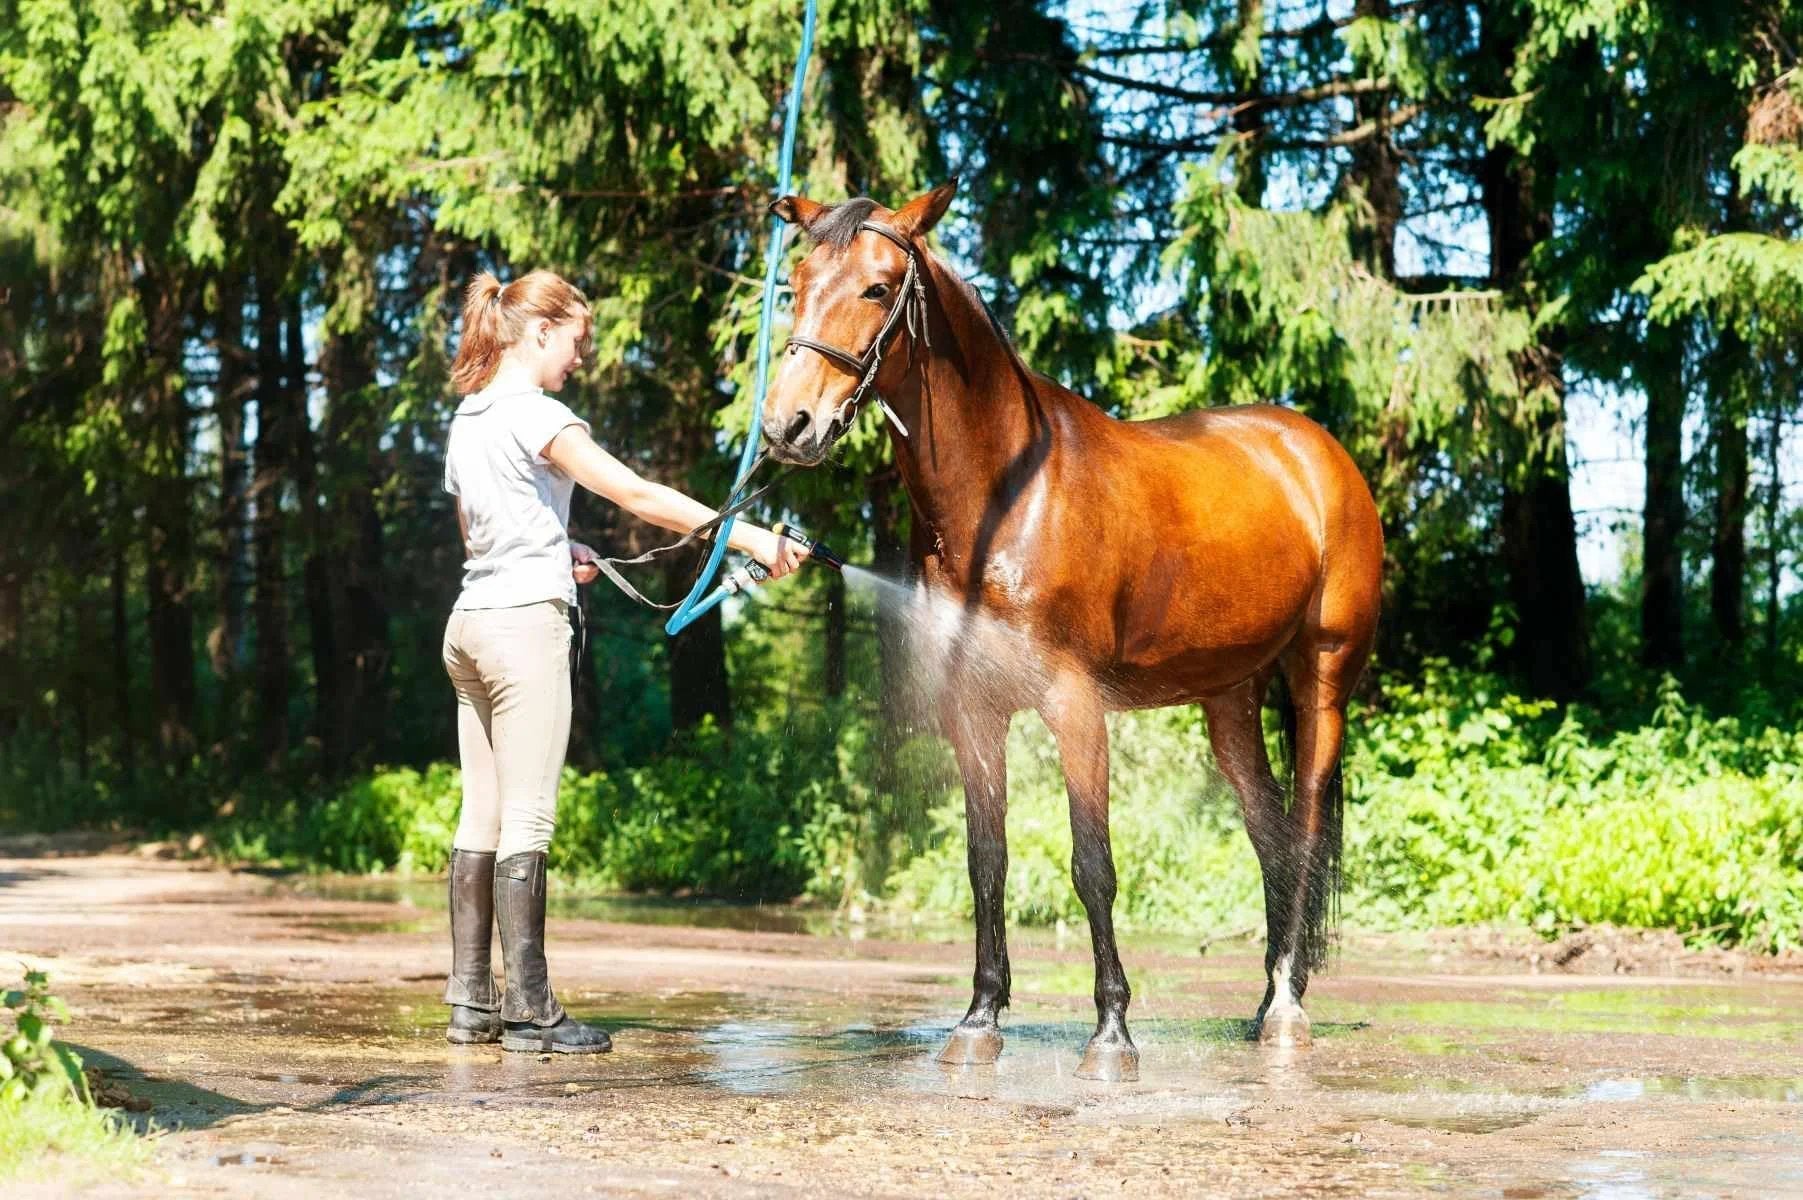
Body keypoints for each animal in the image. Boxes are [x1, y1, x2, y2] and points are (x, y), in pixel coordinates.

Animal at [762, 180, 1383, 1081]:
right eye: (796, 283)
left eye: (878, 288)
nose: (788, 427)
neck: (1006, 499)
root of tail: (1315, 452)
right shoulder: (973, 713)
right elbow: (986, 862)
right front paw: (978, 1020)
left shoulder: (1075, 706)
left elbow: (1093, 866)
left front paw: (1111, 1034)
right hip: (1229, 701)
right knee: (1268, 837)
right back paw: (1268, 997)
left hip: (1323, 682)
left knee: (1301, 829)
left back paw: (1287, 1012)